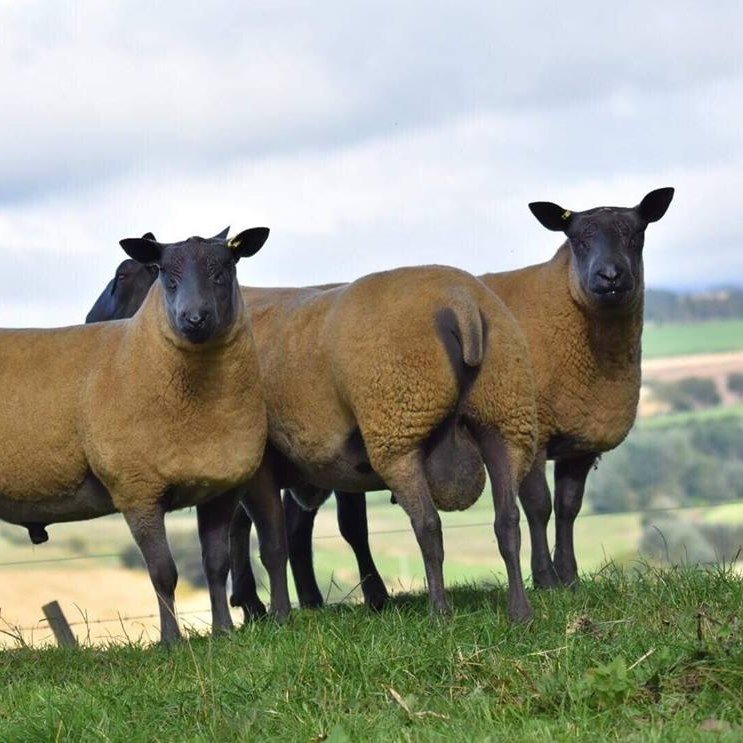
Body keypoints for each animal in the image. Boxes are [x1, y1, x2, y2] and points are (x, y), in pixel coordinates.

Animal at [0, 227, 274, 644]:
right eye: (165, 273)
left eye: (225, 268)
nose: (194, 318)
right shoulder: (137, 489)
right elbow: (163, 574)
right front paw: (171, 641)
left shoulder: (221, 487)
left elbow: (216, 564)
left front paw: (224, 632)